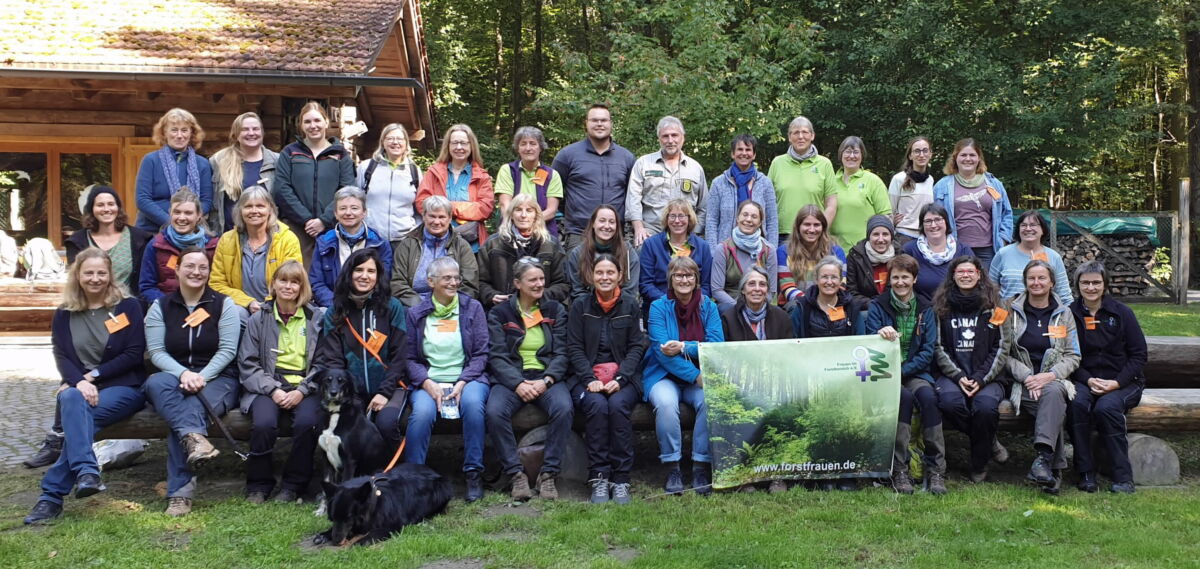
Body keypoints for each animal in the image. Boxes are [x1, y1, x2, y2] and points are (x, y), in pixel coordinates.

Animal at [312, 465, 451, 547]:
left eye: (348, 517)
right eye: (332, 518)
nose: (335, 540)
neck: (376, 501)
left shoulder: (393, 526)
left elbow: (373, 533)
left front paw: (359, 541)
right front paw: (325, 534)